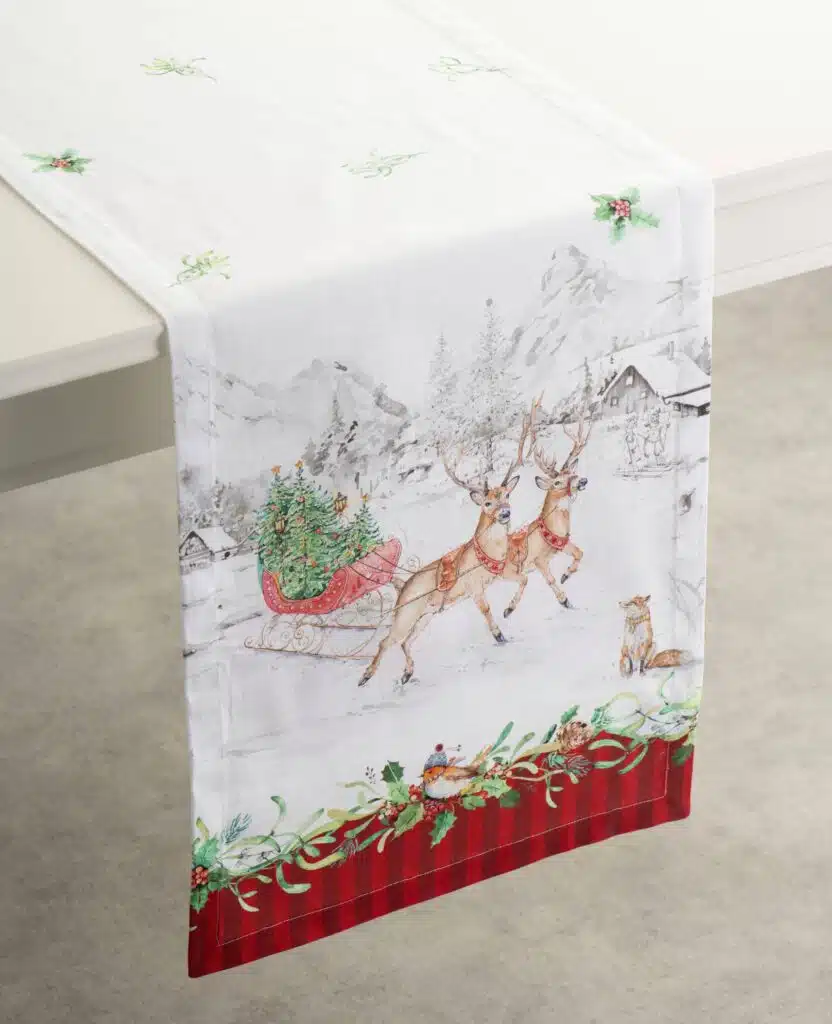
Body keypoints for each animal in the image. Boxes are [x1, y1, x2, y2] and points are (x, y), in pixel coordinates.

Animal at [358, 406, 537, 687]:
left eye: (507, 495)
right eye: (487, 502)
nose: (505, 513)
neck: (485, 555)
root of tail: (402, 587)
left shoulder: (500, 575)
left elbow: (524, 580)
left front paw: (509, 610)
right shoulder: (473, 587)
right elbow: (486, 610)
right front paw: (499, 635)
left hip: (426, 615)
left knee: (405, 642)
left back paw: (407, 674)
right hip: (407, 613)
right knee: (387, 640)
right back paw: (366, 676)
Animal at [502, 395, 592, 617]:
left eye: (572, 474)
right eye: (557, 482)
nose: (583, 480)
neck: (547, 533)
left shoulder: (563, 545)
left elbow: (580, 553)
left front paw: (566, 575)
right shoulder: (537, 560)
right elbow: (550, 580)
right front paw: (564, 600)